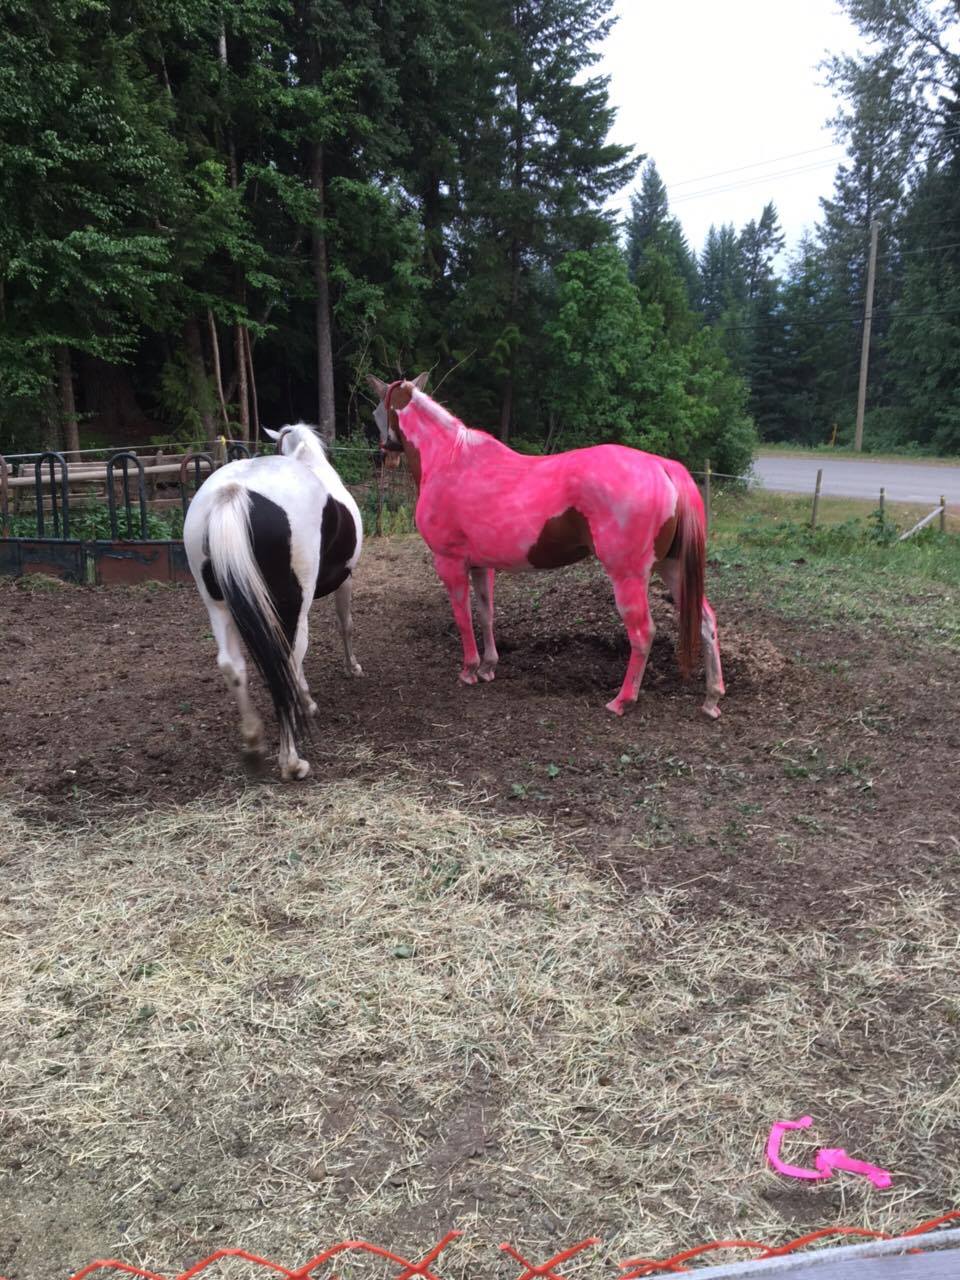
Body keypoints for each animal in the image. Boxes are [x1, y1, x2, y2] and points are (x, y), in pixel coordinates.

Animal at [183, 424, 363, 780]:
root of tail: (234, 492)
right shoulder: (345, 579)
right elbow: (345, 625)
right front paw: (350, 669)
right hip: (292, 604)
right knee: (286, 660)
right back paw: (292, 762)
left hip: (218, 605)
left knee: (232, 665)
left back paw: (254, 743)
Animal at [367, 376, 724, 719]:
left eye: (376, 411)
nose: (386, 453)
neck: (450, 460)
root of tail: (663, 466)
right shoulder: (482, 565)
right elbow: (485, 613)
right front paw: (488, 667)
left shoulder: (449, 562)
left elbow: (462, 616)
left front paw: (469, 670)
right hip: (672, 567)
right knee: (706, 621)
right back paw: (711, 699)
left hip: (629, 576)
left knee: (642, 633)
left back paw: (622, 701)